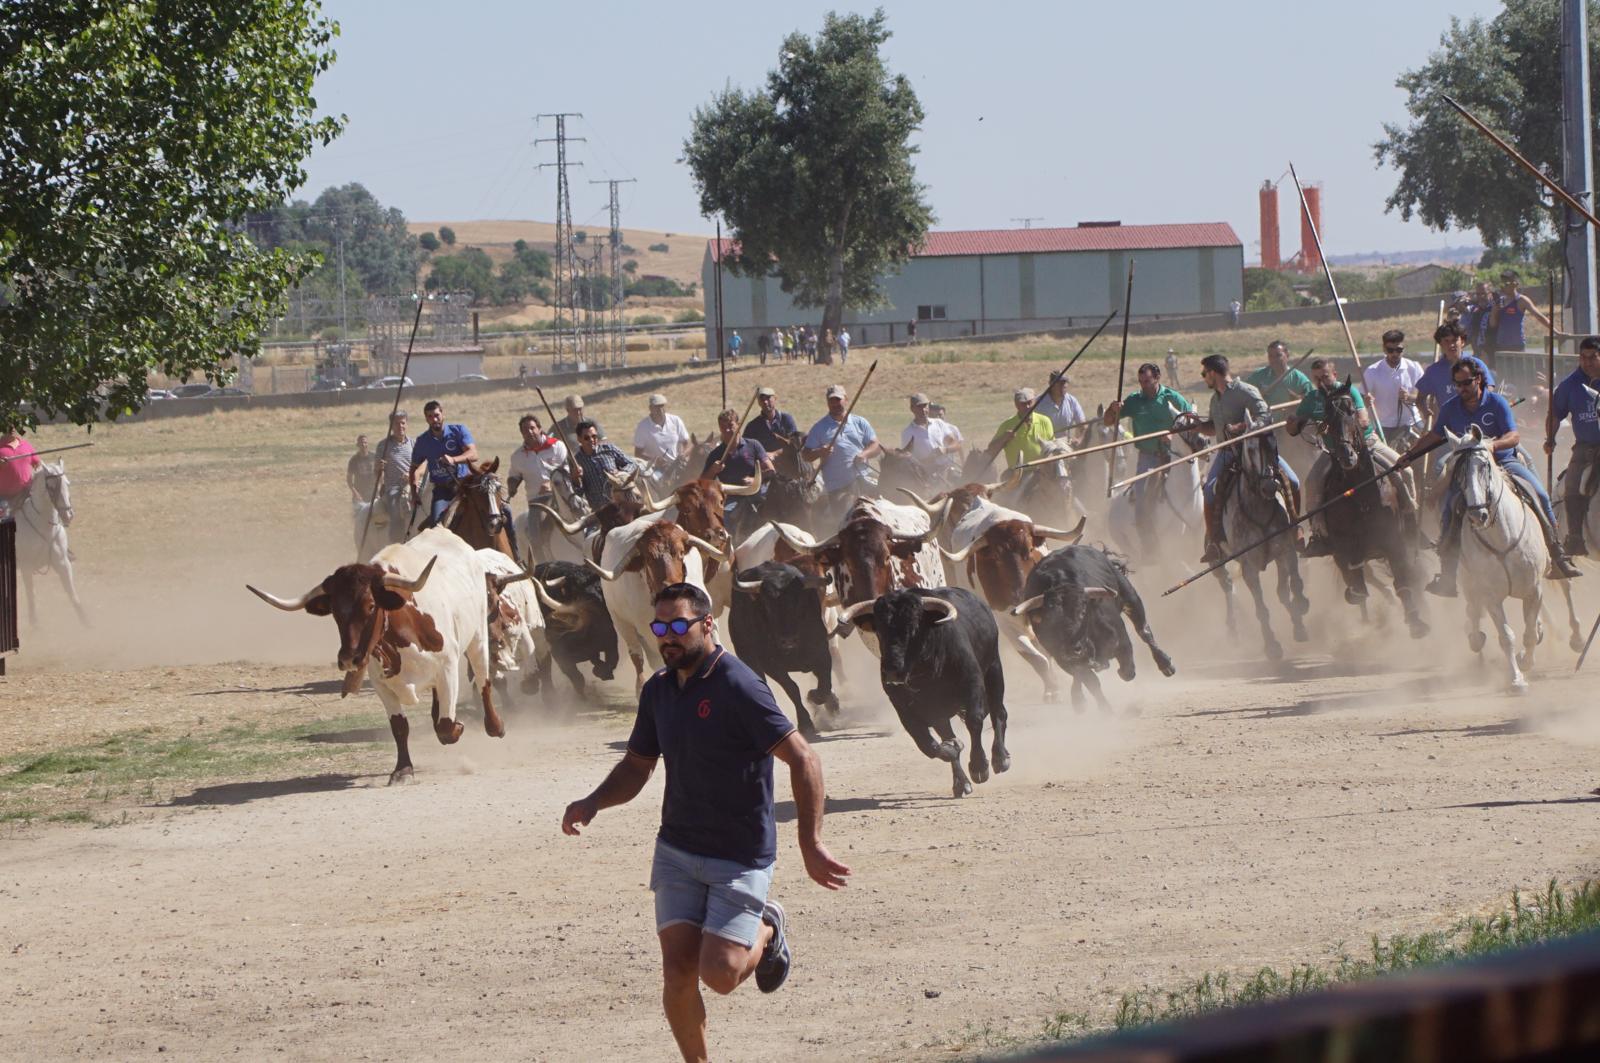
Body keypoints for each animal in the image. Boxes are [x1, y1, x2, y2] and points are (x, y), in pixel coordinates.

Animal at [12, 461, 88, 627]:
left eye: (67, 483)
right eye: (51, 487)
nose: (68, 515)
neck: (42, 526)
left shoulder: (62, 562)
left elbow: (72, 593)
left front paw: (87, 623)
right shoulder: (26, 567)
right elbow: (31, 595)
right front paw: (35, 624)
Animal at [246, 528, 505, 784]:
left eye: (371, 606)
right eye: (335, 612)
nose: (348, 658)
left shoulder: (447, 669)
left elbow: (447, 725)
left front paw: (458, 727)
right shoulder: (381, 684)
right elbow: (400, 726)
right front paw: (403, 770)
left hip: (478, 638)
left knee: (483, 681)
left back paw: (496, 725)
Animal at [1216, 416, 1305, 656]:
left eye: (1274, 444)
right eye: (1251, 448)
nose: (1269, 486)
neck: (1258, 508)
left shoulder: (1285, 552)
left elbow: (1284, 591)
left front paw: (1298, 622)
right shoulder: (1249, 569)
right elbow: (1261, 608)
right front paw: (1272, 646)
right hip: (1217, 561)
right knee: (1227, 585)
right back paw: (1232, 629)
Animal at [1312, 379, 1427, 633]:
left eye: (1352, 411)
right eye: (1327, 417)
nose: (1347, 455)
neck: (1361, 494)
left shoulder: (1394, 540)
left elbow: (1403, 578)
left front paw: (1416, 621)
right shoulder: (1344, 548)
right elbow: (1356, 580)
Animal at [1446, 429, 1580, 694]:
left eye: (1484, 465)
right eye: (1457, 471)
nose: (1477, 514)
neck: (1502, 536)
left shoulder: (1534, 589)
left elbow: (1528, 634)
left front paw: (1525, 662)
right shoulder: (1490, 595)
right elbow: (1506, 636)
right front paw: (1516, 678)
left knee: (1564, 589)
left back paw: (1574, 637)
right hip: (1470, 583)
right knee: (1473, 611)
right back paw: (1476, 637)